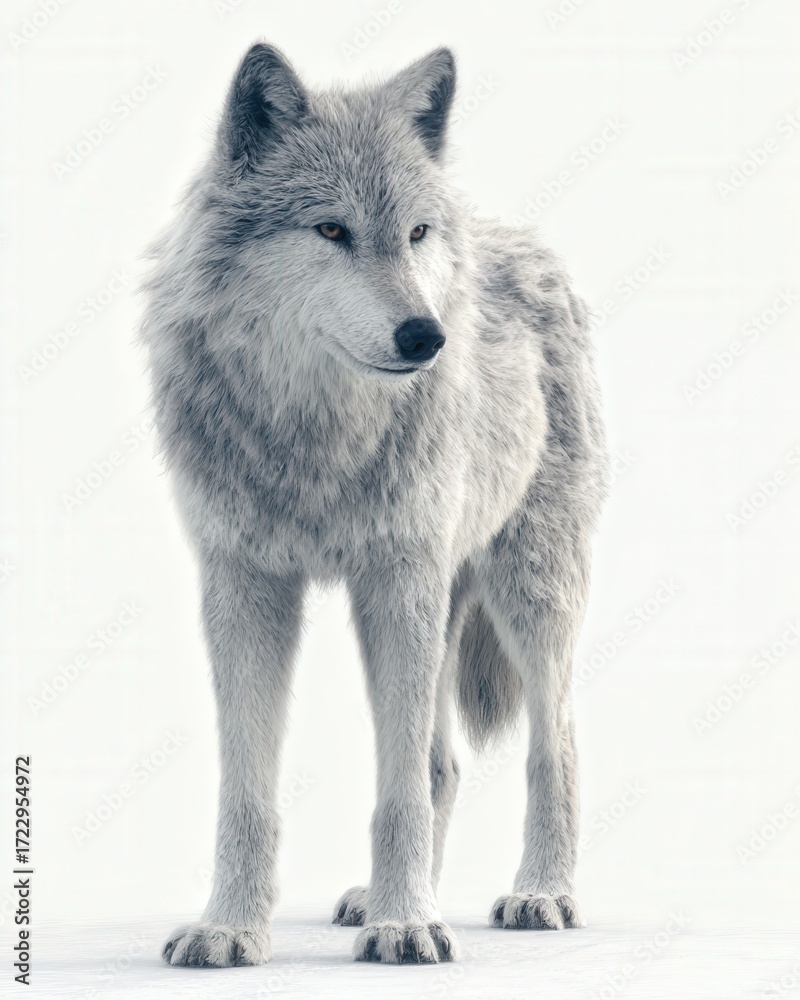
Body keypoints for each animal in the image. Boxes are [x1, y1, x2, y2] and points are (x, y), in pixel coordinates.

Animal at [142, 42, 607, 967]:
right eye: (332, 230)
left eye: (415, 234)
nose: (425, 336)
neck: (318, 435)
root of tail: (519, 240)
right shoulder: (243, 587)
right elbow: (247, 791)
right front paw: (230, 927)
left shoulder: (399, 579)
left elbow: (398, 794)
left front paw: (407, 925)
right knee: (443, 766)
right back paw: (375, 899)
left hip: (527, 593)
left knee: (555, 748)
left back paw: (540, 894)